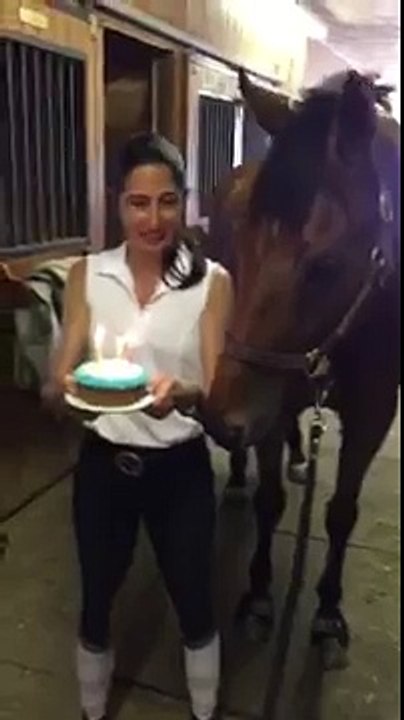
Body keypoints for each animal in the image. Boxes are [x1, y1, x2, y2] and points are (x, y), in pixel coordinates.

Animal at [204, 70, 400, 667]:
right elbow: (269, 501)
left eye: (327, 264)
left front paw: (329, 612)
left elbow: (341, 513)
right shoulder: (271, 395)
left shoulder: (374, 414)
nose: (220, 418)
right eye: (241, 242)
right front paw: (259, 597)